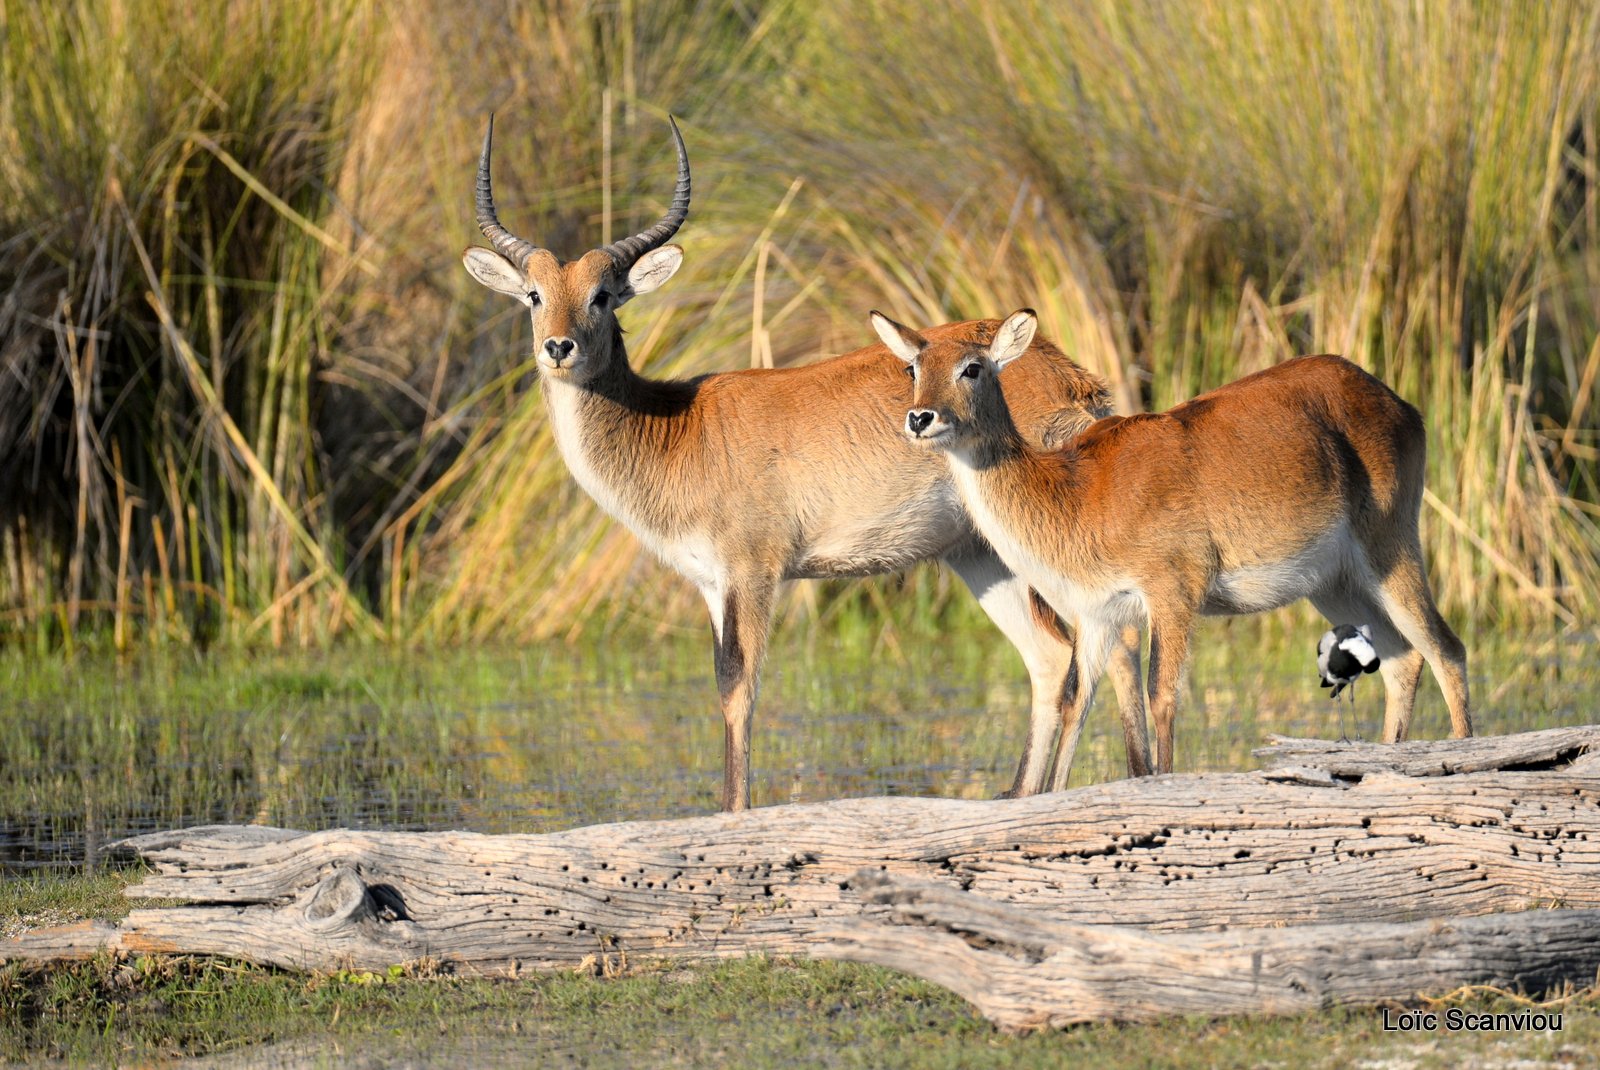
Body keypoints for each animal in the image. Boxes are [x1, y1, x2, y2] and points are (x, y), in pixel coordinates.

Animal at [464, 116, 1152, 806]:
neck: (676, 429)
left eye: (603, 295)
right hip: (980, 554)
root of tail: (1073, 374)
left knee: (1112, 642)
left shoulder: (754, 572)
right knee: (1050, 657)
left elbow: (738, 689)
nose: (559, 347)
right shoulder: (712, 584)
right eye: (534, 295)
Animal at [876, 303, 1472, 780]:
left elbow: (1162, 696)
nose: (920, 417)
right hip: (1333, 582)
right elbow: (1075, 704)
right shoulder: (1096, 616)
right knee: (1401, 659)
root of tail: (1398, 402)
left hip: (1390, 547)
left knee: (1446, 648)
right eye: (913, 367)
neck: (1076, 494)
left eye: (972, 367)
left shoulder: (1173, 593)